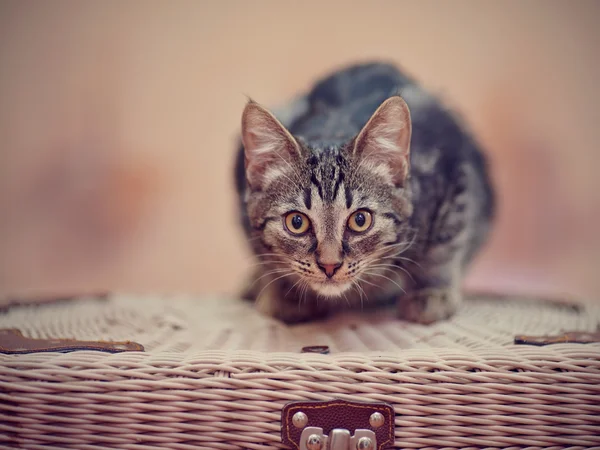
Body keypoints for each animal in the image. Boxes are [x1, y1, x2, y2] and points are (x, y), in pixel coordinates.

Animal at [233, 63, 492, 324]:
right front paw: (287, 293)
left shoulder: (455, 175)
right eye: (296, 222)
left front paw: (431, 290)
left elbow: (445, 246)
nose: (329, 265)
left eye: (360, 220)